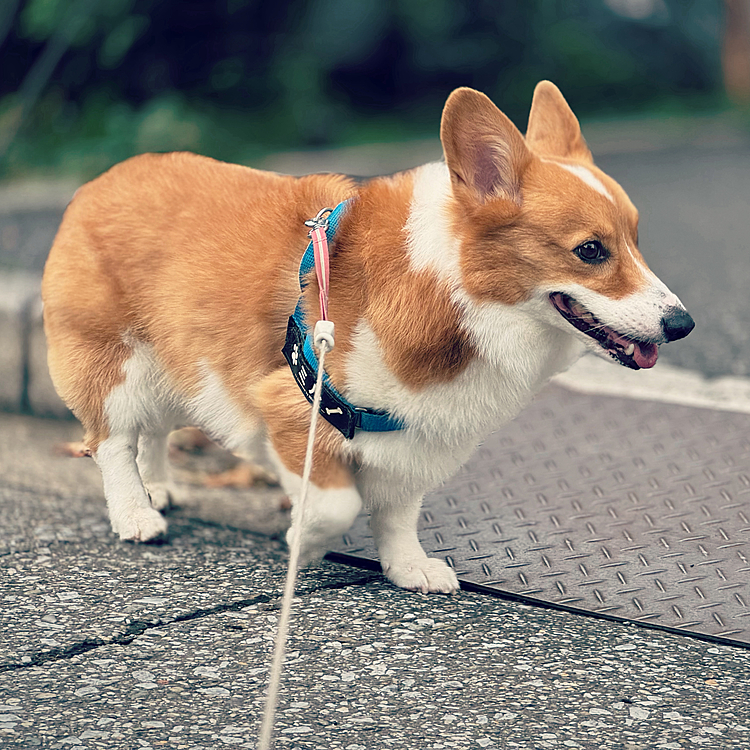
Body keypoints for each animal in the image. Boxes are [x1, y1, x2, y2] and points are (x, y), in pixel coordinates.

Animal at [45, 82, 692, 596]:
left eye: (635, 241)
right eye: (591, 251)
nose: (681, 324)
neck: (455, 293)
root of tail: (100, 180)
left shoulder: (414, 436)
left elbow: (399, 512)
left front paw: (408, 568)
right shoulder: (299, 408)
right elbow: (339, 503)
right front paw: (303, 542)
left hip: (182, 366)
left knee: (152, 431)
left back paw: (158, 488)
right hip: (115, 366)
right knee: (111, 442)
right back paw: (136, 515)